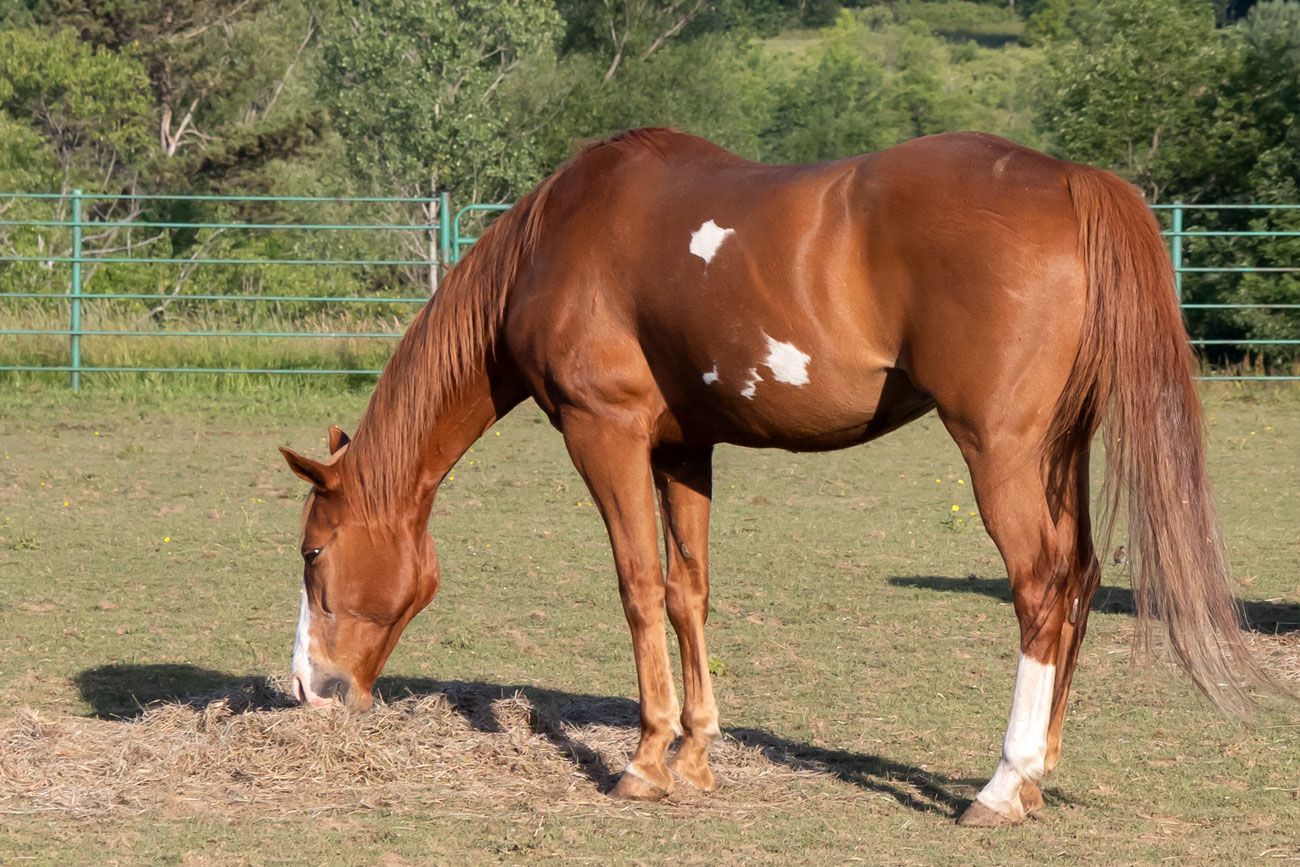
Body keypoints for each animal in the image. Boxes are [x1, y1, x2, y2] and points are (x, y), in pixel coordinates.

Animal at [279, 128, 1274, 826]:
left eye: (313, 552)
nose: (304, 688)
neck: (557, 240)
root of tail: (1069, 179)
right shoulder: (683, 449)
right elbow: (688, 591)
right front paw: (695, 755)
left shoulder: (607, 434)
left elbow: (638, 585)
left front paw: (645, 762)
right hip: (1060, 448)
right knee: (1080, 582)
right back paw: (1038, 776)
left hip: (1002, 451)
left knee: (1040, 586)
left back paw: (1001, 783)